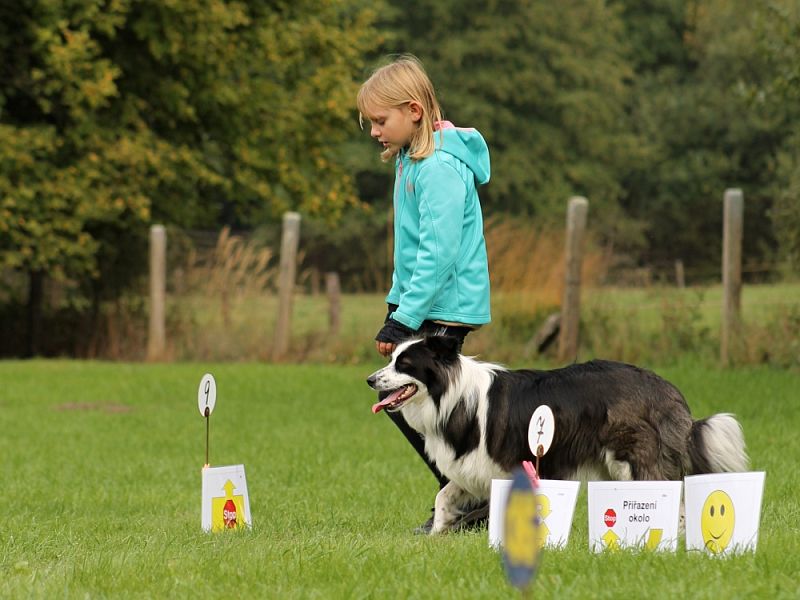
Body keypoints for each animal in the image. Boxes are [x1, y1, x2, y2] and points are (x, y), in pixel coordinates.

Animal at [368, 338, 752, 536]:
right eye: (392, 358)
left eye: (404, 364)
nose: (370, 380)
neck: (451, 396)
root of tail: (664, 387)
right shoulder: (473, 467)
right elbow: (446, 496)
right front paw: (437, 532)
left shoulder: (508, 465)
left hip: (630, 458)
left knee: (671, 498)